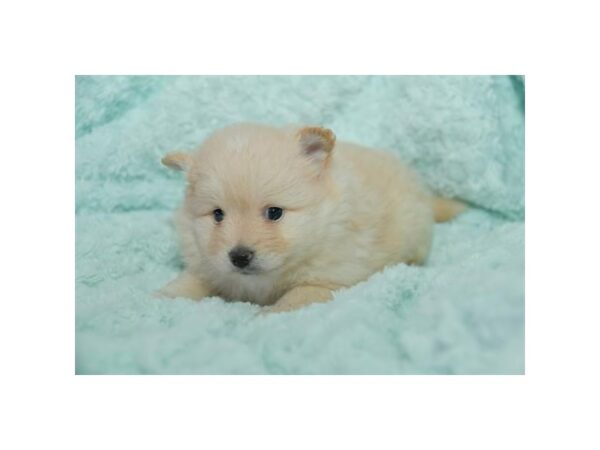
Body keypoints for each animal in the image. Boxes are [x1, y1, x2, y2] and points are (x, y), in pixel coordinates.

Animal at [159, 123, 464, 312]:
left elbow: (293, 298)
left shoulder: (326, 280)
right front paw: (162, 297)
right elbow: (191, 281)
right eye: (217, 215)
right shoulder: (208, 266)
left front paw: (266, 317)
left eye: (274, 213)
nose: (239, 257)